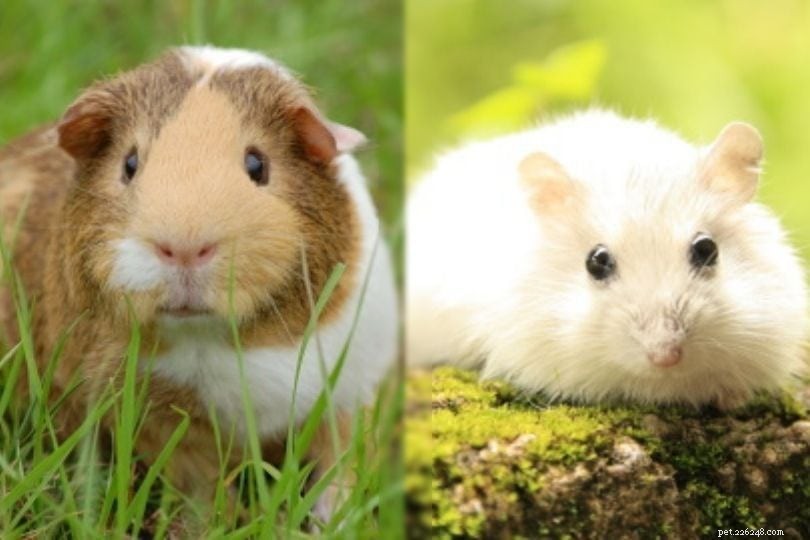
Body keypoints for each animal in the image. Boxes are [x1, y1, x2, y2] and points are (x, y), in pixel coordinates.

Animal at [0, 46, 398, 520]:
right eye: (129, 164)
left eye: (257, 164)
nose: (184, 248)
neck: (229, 341)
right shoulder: (167, 425)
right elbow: (204, 488)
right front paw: (228, 521)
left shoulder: (351, 392)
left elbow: (339, 466)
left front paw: (332, 519)